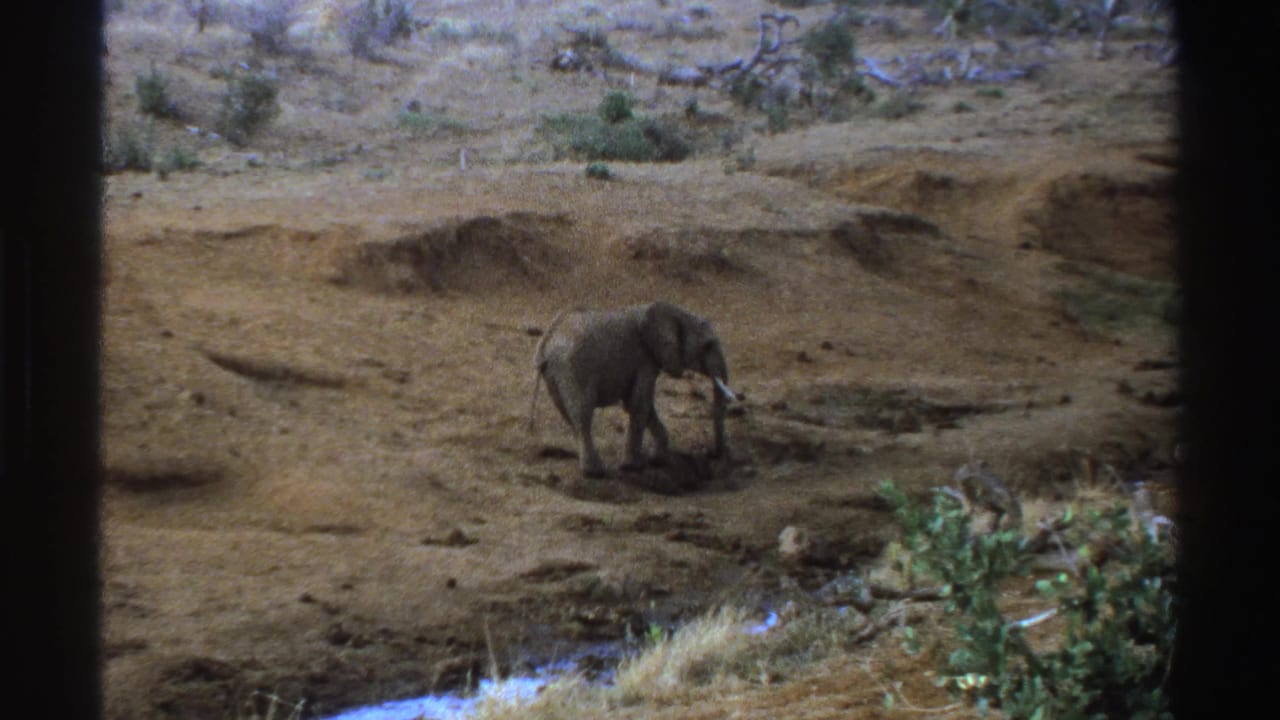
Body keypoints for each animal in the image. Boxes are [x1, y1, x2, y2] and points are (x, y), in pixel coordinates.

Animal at [529, 301, 735, 478]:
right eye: (707, 346)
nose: (711, 454)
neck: (676, 312)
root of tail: (546, 342)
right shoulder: (644, 359)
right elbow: (639, 403)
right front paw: (634, 467)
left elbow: (641, 404)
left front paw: (658, 460)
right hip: (574, 368)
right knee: (582, 414)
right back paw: (595, 472)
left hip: (554, 374)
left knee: (568, 414)